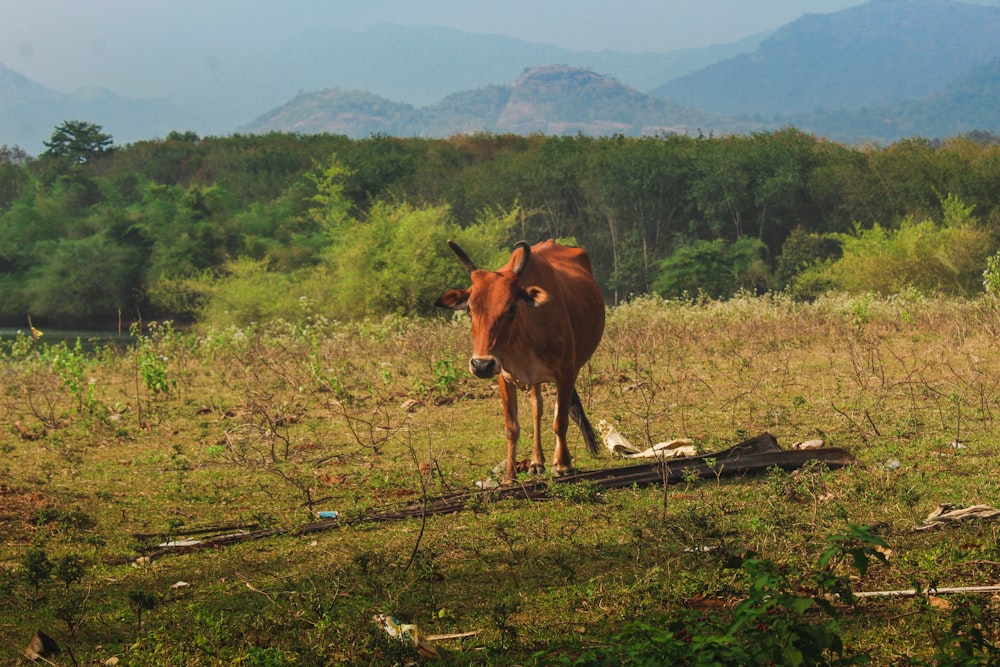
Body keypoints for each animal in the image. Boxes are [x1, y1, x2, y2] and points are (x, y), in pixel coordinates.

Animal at [436, 237, 604, 482]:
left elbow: (560, 421)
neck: (522, 339)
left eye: (511, 308)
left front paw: (564, 465)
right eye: (469, 309)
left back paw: (555, 461)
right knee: (537, 409)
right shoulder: (503, 377)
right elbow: (512, 427)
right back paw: (536, 462)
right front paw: (509, 475)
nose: (481, 365)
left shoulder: (566, 373)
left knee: (555, 411)